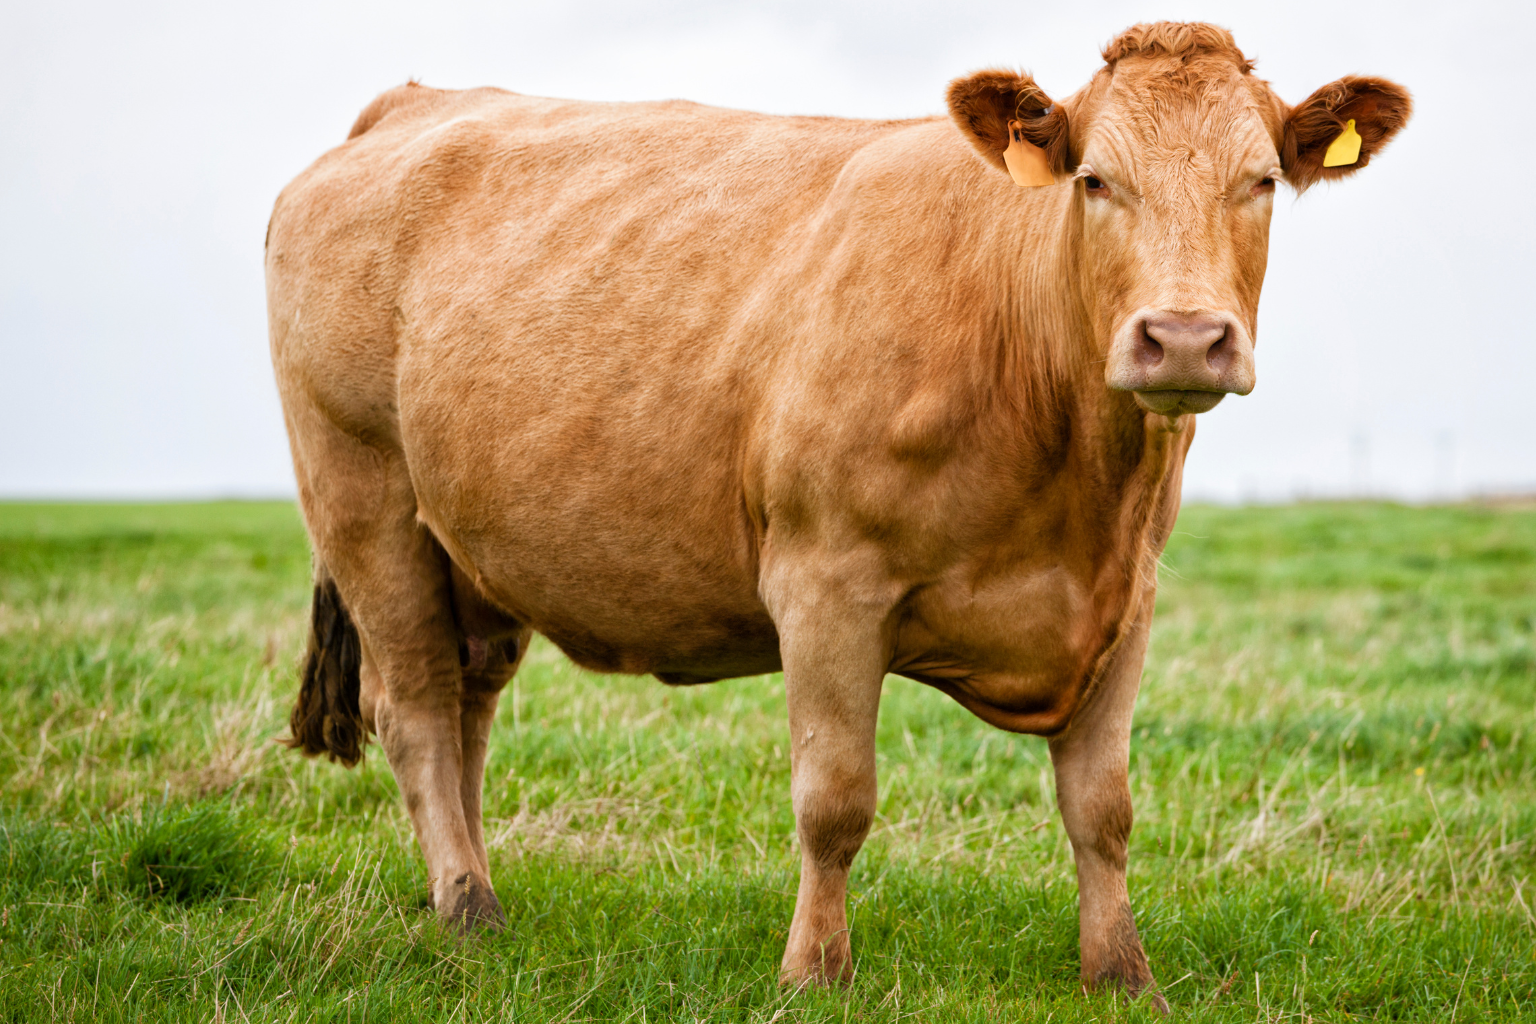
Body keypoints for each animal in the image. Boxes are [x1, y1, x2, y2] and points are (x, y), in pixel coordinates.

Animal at [266, 21, 1408, 1008]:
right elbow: (835, 800)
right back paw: (466, 905)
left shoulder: (1125, 599)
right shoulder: (824, 584)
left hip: (472, 547)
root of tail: (414, 102)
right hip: (364, 495)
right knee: (416, 707)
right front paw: (813, 973)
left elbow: (1104, 809)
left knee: (469, 706)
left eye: (1260, 181)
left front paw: (1123, 976)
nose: (1182, 338)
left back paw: (470, 897)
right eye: (1095, 180)